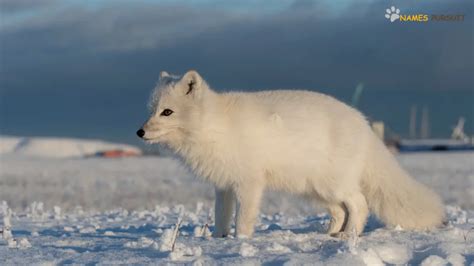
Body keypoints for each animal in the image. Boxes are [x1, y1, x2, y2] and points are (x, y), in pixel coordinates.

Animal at [137, 69, 444, 238]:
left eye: (167, 112)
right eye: (151, 110)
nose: (139, 132)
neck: (214, 126)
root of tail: (363, 123)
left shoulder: (249, 183)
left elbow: (243, 220)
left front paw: (240, 242)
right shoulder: (223, 185)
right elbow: (220, 217)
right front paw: (218, 240)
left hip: (333, 185)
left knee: (359, 204)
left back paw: (350, 236)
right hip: (315, 190)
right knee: (339, 211)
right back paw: (330, 234)